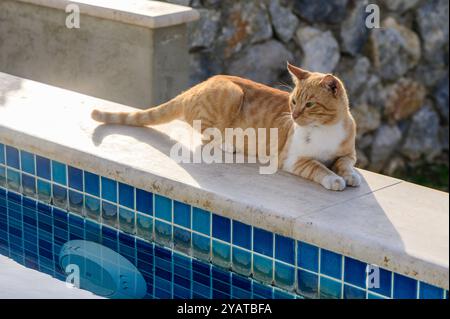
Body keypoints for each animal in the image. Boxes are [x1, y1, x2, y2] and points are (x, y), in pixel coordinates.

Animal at [92, 63, 362, 191]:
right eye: (293, 101)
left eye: (310, 104)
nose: (294, 116)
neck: (326, 128)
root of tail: (196, 86)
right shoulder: (293, 159)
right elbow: (318, 167)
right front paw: (334, 179)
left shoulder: (348, 154)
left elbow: (344, 164)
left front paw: (350, 176)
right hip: (231, 93)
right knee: (207, 137)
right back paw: (228, 145)